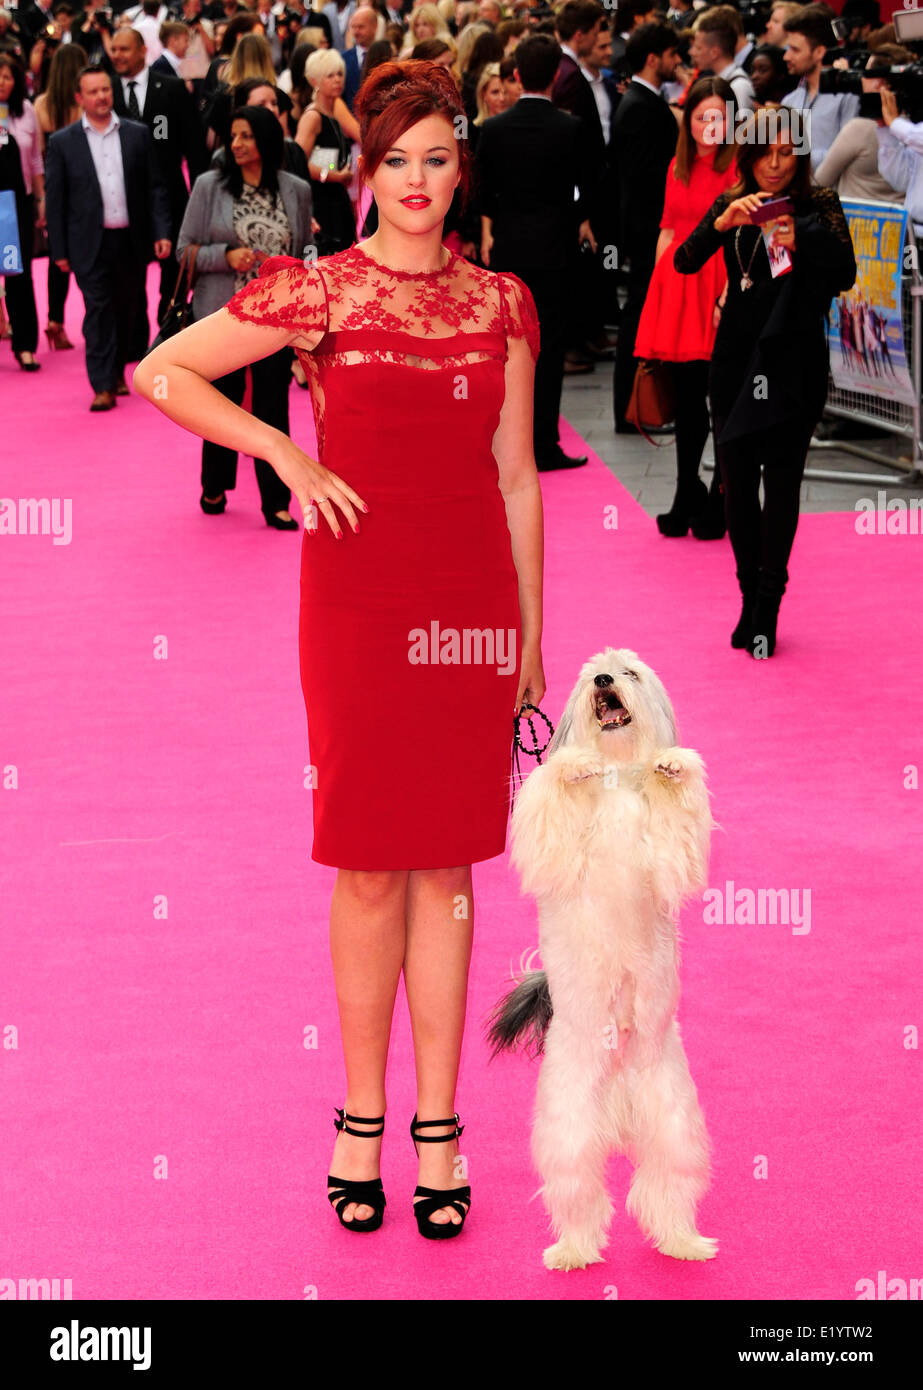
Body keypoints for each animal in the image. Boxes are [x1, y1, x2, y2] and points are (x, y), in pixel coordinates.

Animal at [486, 650, 717, 1273]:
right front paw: (575, 767)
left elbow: (675, 838)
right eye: (594, 674)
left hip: (672, 1116)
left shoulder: (669, 856)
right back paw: (571, 1251)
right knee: (579, 1192)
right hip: (569, 1122)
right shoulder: (553, 843)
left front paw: (673, 766)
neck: (616, 778)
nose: (606, 680)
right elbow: (553, 799)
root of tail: (618, 1091)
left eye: (631, 673)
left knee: (666, 1186)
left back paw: (683, 1242)